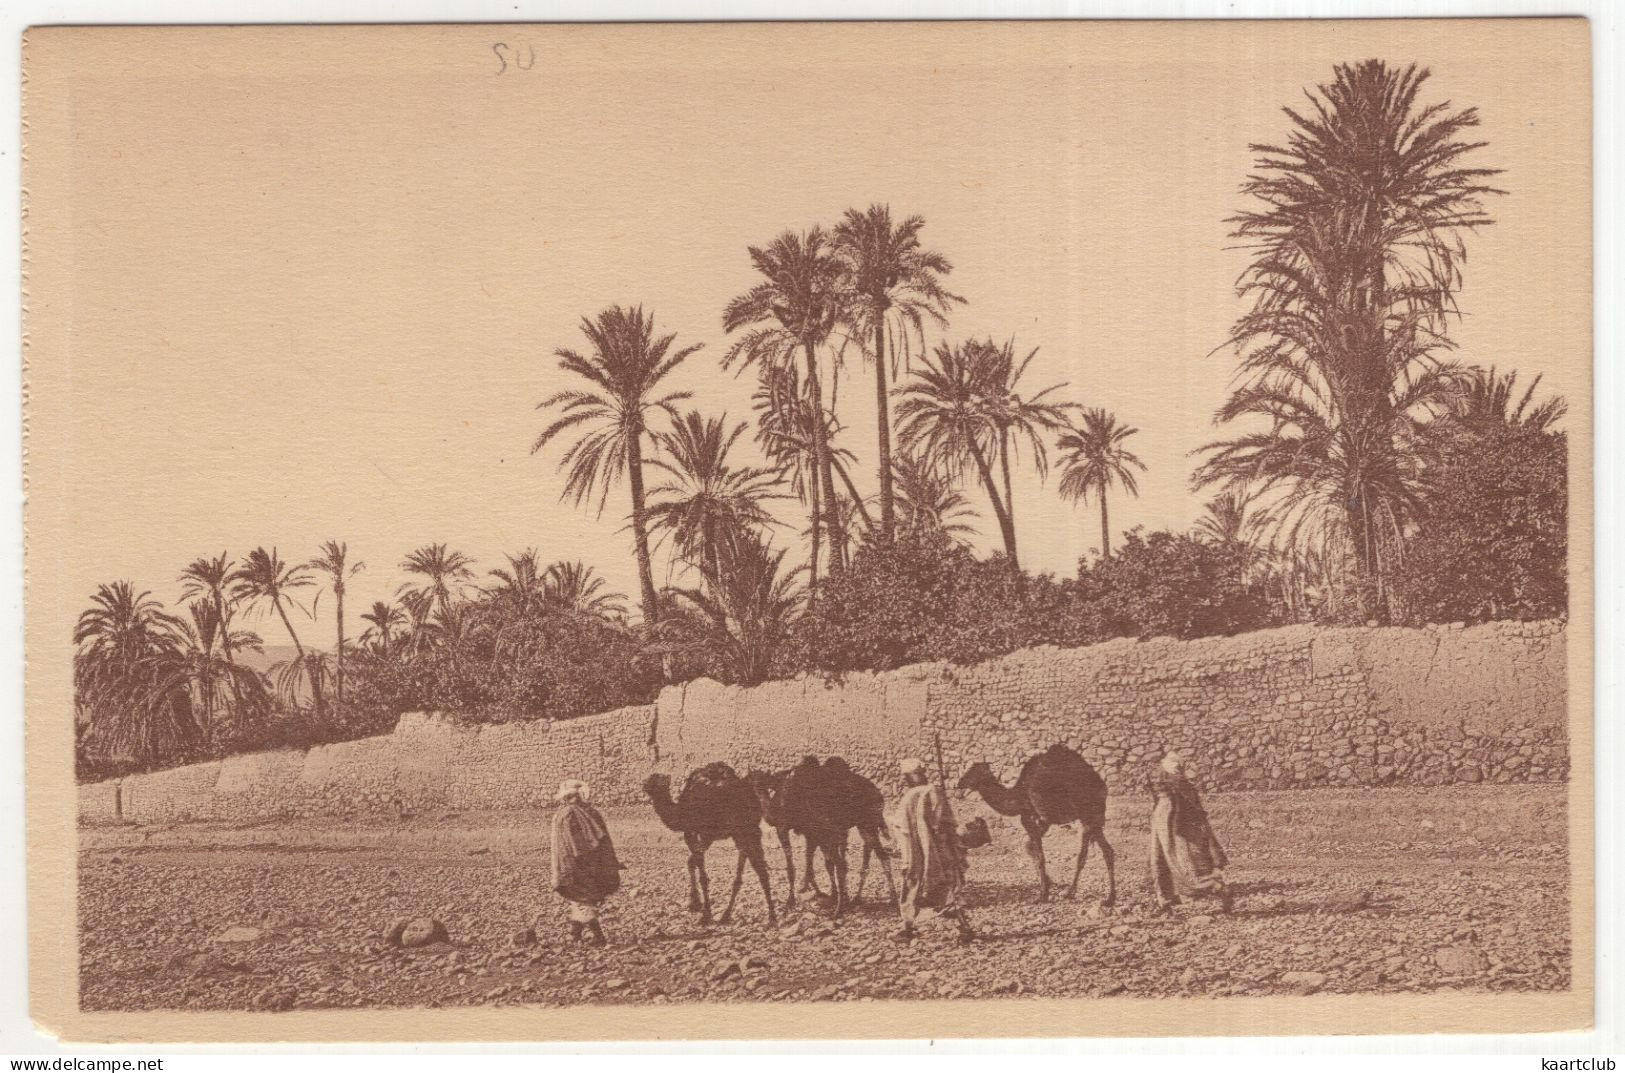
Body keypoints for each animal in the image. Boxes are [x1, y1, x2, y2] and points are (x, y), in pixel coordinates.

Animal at [643, 757, 776, 923]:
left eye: (655, 780)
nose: (644, 784)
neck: (681, 811)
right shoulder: (703, 836)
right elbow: (691, 862)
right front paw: (694, 903)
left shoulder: (697, 832)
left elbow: (700, 870)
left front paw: (705, 913)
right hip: (746, 830)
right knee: (755, 864)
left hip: (743, 830)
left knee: (756, 866)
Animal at [955, 744, 1111, 903]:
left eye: (973, 771)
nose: (959, 783)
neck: (1018, 797)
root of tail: (1101, 787)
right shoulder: (1041, 822)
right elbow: (1030, 848)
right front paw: (1048, 884)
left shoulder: (1031, 818)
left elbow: (1040, 856)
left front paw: (1042, 895)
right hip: (1093, 818)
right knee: (1104, 851)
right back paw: (1107, 898)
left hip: (1088, 814)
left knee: (1087, 854)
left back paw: (1076, 894)